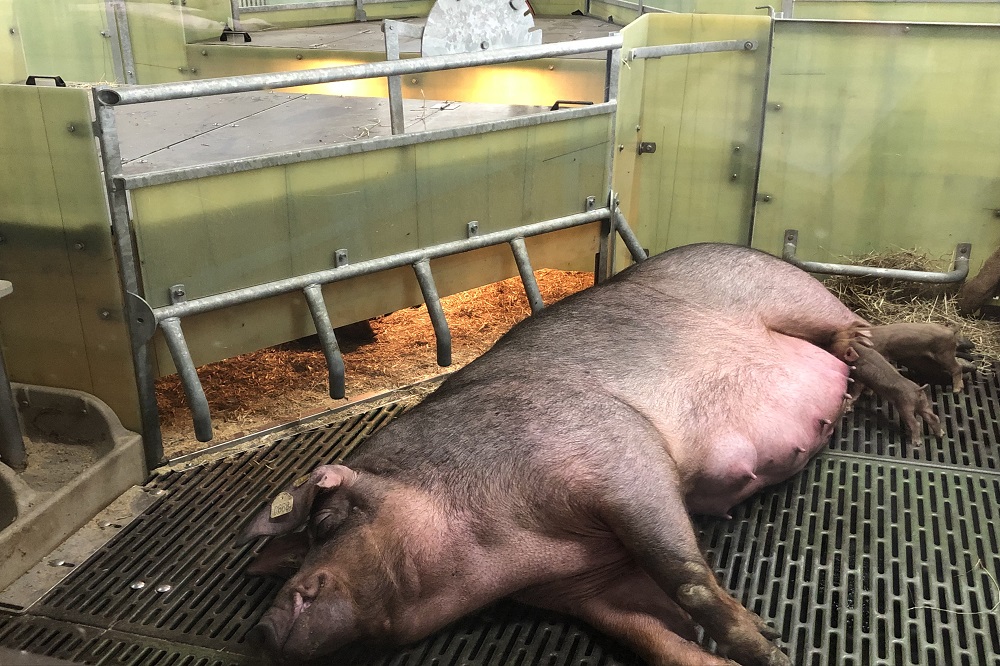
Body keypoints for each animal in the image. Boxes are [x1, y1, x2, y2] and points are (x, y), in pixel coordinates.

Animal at [237, 243, 950, 665]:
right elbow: (654, 640)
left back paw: (924, 417)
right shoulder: (587, 586)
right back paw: (952, 357)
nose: (263, 630)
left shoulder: (619, 455)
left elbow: (685, 575)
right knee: (864, 342)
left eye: (327, 520)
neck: (516, 549)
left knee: (856, 340)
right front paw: (747, 651)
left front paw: (768, 648)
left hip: (790, 297)